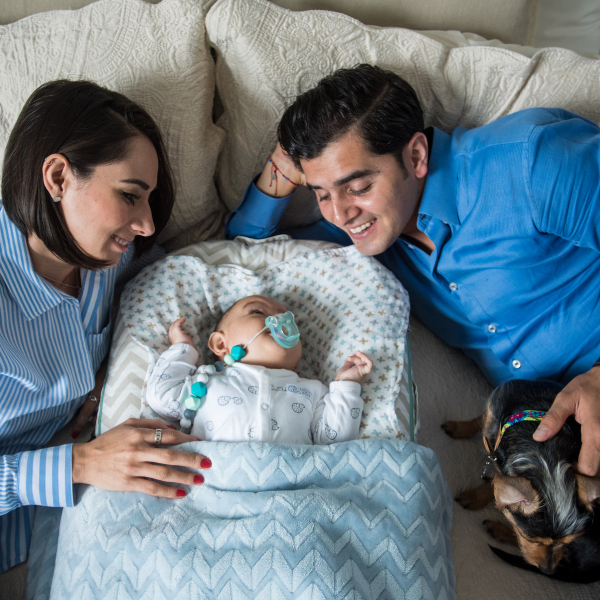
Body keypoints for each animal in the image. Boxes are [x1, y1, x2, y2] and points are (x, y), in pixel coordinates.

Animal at [440, 380, 600, 580]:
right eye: (531, 539)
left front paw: (474, 497)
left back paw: (499, 530)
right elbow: (480, 421)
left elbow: (493, 485)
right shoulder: (494, 411)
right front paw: (460, 428)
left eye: (568, 541)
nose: (548, 570)